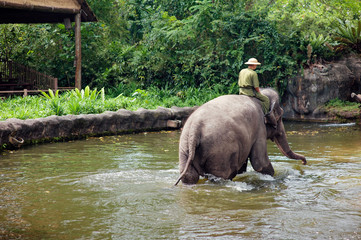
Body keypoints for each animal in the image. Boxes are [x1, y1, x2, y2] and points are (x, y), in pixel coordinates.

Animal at [176, 88, 306, 186]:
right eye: (280, 117)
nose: (304, 162)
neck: (260, 97)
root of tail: (195, 128)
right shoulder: (259, 129)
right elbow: (260, 163)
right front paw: (275, 177)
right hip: (220, 152)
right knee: (222, 176)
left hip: (185, 147)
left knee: (190, 176)